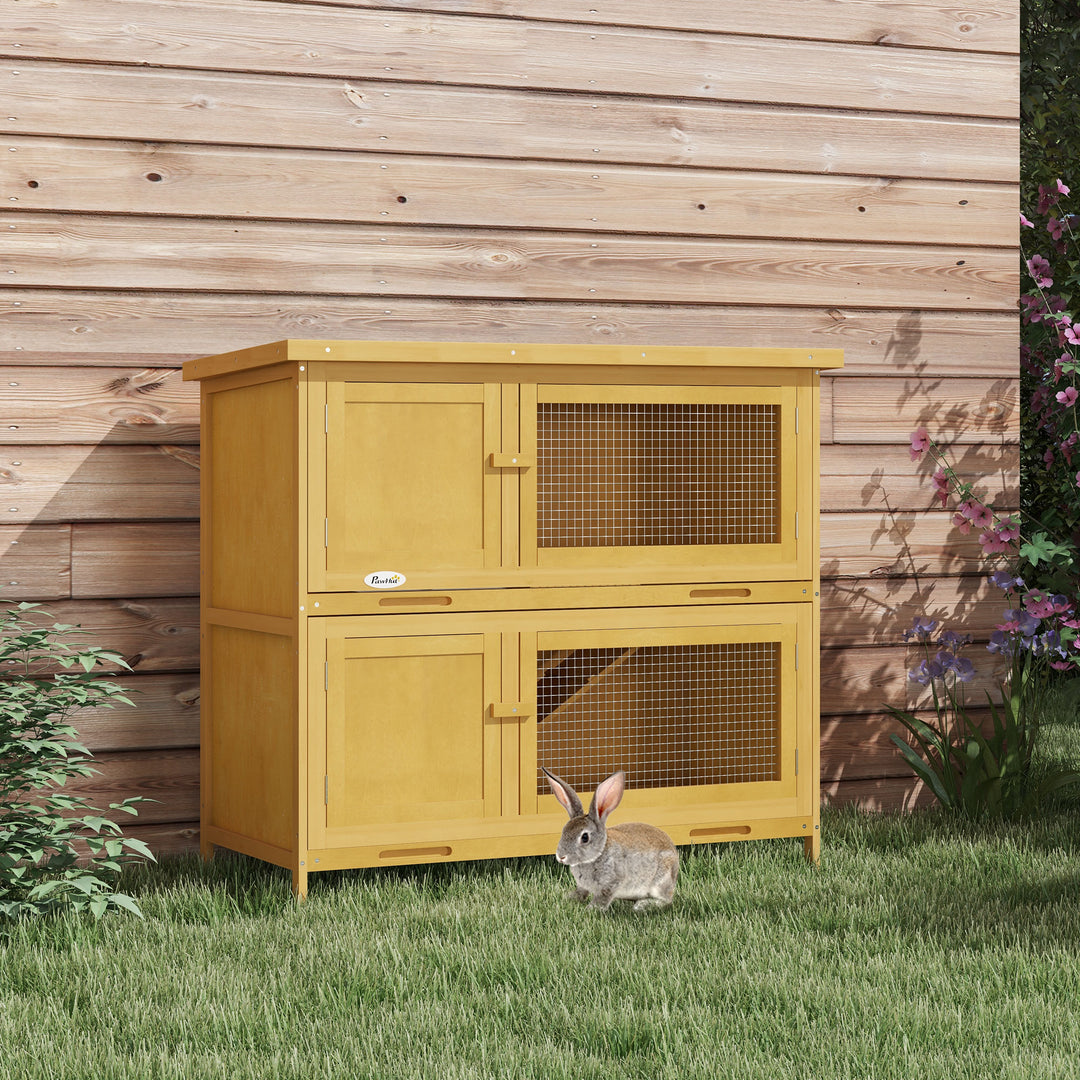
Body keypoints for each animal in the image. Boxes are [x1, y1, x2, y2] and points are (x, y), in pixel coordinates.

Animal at [544, 768, 678, 911]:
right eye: (563, 831)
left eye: (585, 837)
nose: (561, 857)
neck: (599, 853)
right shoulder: (584, 886)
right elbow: (582, 892)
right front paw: (570, 899)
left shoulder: (612, 882)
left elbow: (603, 897)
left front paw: (591, 909)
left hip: (660, 881)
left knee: (667, 900)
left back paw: (642, 905)